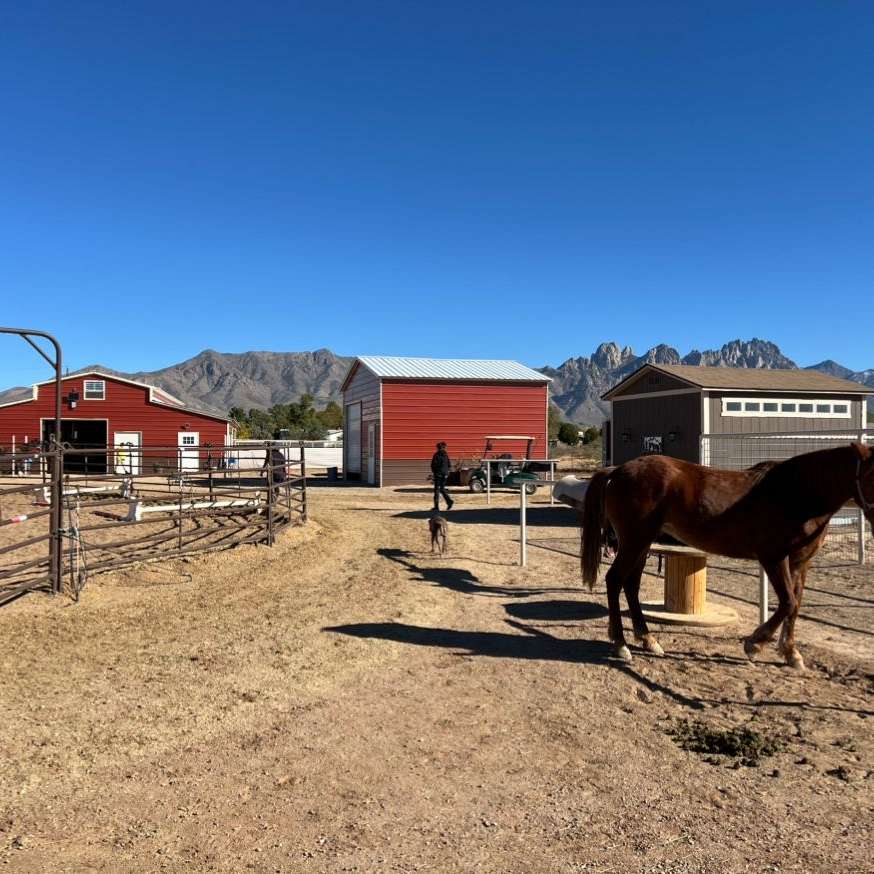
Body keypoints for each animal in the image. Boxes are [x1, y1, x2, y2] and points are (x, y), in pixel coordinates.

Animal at [580, 442, 872, 668]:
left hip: (642, 544)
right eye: (873, 474)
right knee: (615, 580)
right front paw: (754, 644)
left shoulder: (801, 562)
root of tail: (617, 470)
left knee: (630, 585)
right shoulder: (774, 558)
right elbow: (788, 602)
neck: (797, 494)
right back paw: (621, 644)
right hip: (635, 541)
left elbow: (795, 604)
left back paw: (648, 640)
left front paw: (790, 653)